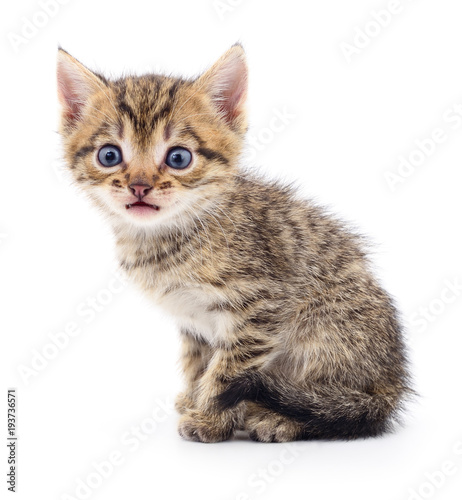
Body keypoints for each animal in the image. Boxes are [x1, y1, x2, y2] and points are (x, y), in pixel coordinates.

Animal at [56, 43, 410, 442]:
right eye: (109, 155)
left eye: (178, 157)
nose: (140, 186)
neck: (167, 237)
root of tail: (393, 382)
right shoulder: (193, 321)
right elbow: (198, 363)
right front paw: (196, 400)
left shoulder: (260, 307)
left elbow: (228, 372)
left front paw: (210, 419)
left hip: (326, 327)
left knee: (337, 403)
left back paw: (280, 418)